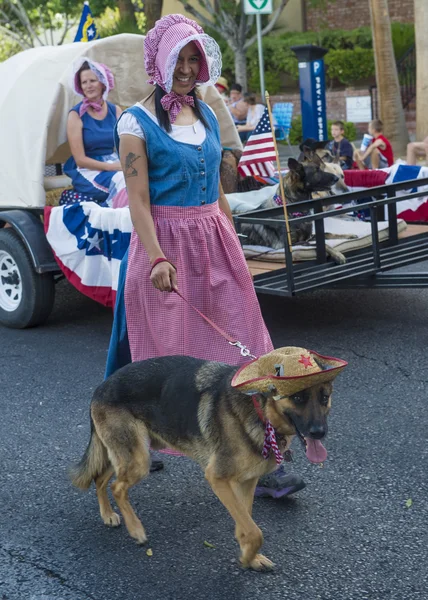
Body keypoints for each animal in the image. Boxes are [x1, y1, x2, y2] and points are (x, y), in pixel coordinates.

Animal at [70, 344, 344, 568]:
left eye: (324, 398)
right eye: (297, 397)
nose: (319, 433)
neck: (259, 409)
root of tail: (102, 386)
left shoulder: (246, 482)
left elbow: (246, 521)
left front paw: (249, 554)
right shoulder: (217, 478)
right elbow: (255, 531)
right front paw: (247, 556)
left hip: (125, 454)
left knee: (100, 479)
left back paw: (108, 515)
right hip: (138, 460)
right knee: (116, 487)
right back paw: (136, 529)